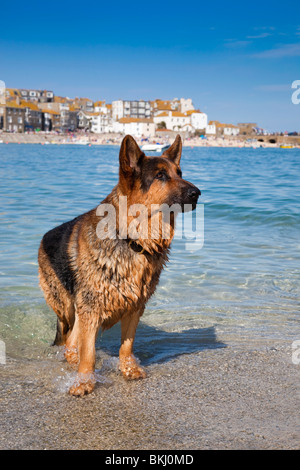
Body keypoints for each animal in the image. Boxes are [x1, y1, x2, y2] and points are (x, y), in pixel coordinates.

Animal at [38, 136, 200, 396]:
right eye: (160, 176)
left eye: (179, 173)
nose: (198, 193)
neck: (132, 239)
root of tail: (43, 237)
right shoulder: (91, 309)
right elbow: (89, 353)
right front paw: (84, 381)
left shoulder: (135, 307)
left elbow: (127, 345)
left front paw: (128, 369)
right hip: (69, 307)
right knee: (70, 340)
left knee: (72, 342)